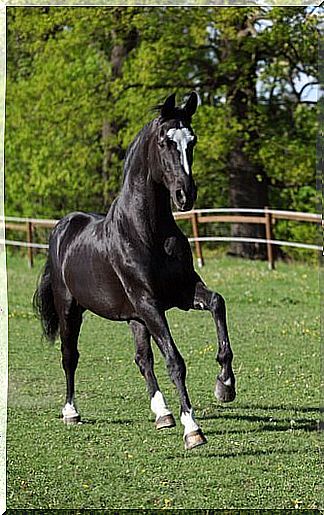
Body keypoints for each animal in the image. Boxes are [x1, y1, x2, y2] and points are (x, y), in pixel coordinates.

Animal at [33, 93, 235, 452]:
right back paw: (71, 412)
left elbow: (217, 303)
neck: (146, 231)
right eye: (165, 141)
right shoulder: (149, 302)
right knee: (70, 356)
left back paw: (162, 414)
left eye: (192, 140)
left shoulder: (182, 293)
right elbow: (175, 360)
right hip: (72, 309)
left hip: (134, 318)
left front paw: (224, 385)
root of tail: (63, 228)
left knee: (143, 360)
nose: (185, 195)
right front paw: (192, 429)